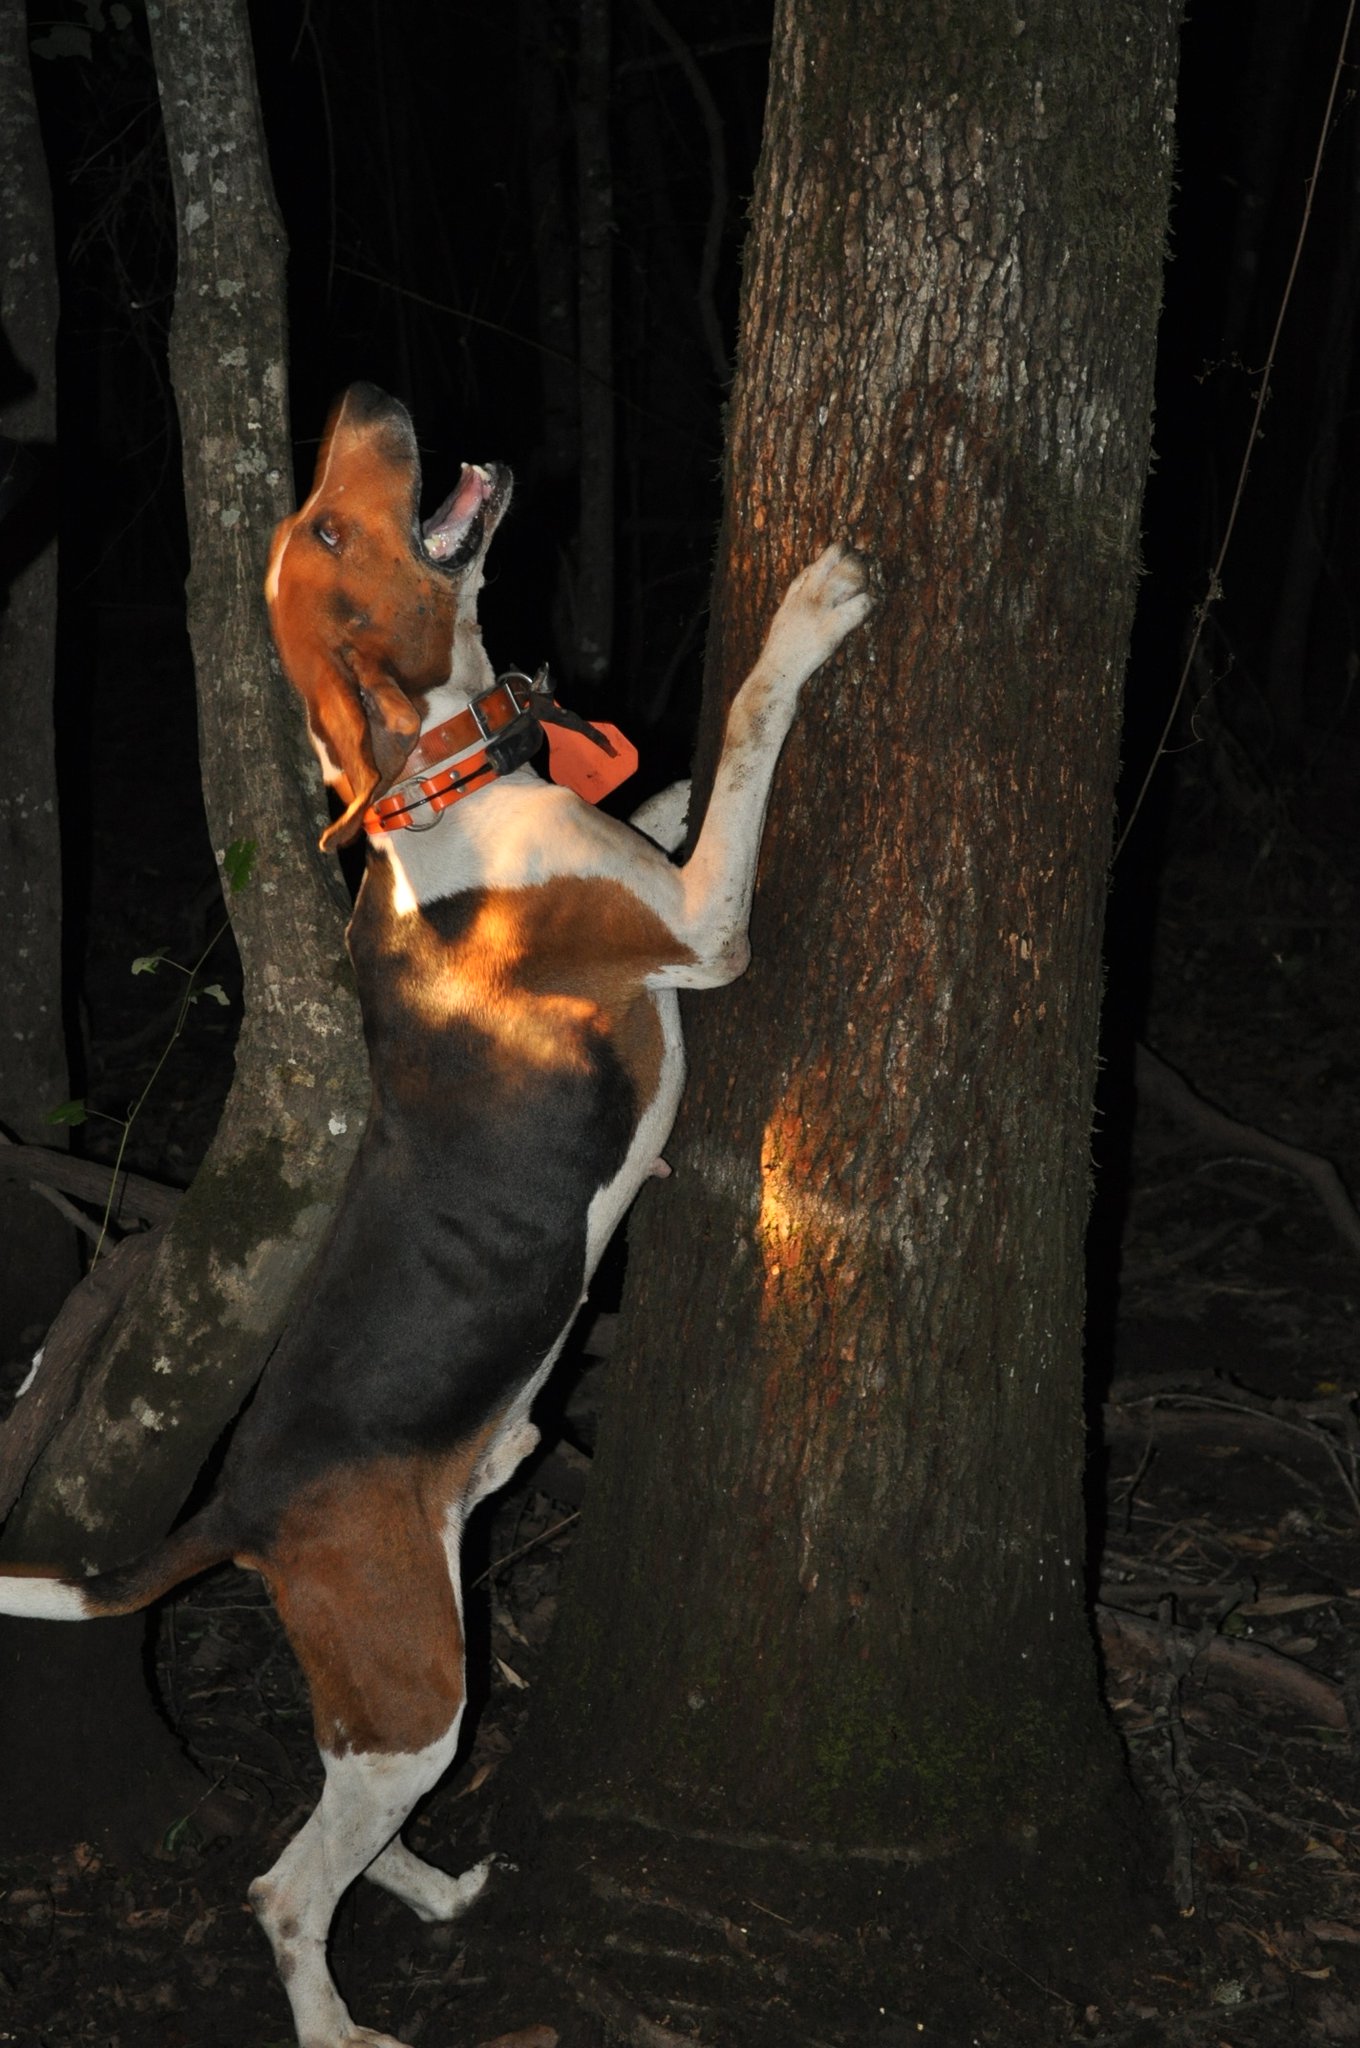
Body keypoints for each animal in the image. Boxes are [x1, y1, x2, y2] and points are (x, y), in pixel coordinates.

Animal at [0, 383, 871, 2048]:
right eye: (332, 529)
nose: (366, 400)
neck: (437, 782)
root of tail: (238, 1504)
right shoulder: (700, 925)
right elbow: (743, 731)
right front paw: (806, 613)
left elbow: (668, 786)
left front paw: (647, 766)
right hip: (416, 1677)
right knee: (282, 1886)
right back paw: (340, 2017)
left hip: (412, 1652)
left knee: (340, 1808)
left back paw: (428, 1884)